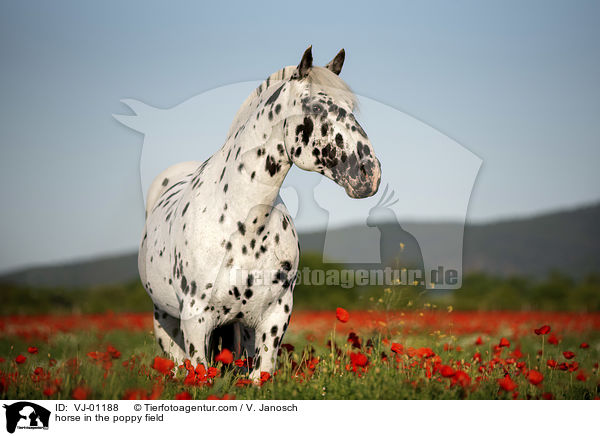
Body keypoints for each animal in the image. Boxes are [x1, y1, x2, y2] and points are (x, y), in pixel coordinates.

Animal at [139, 45, 380, 378]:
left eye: (351, 107)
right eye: (316, 107)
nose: (369, 174)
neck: (244, 224)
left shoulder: (275, 314)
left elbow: (260, 373)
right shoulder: (195, 320)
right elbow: (200, 373)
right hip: (164, 320)